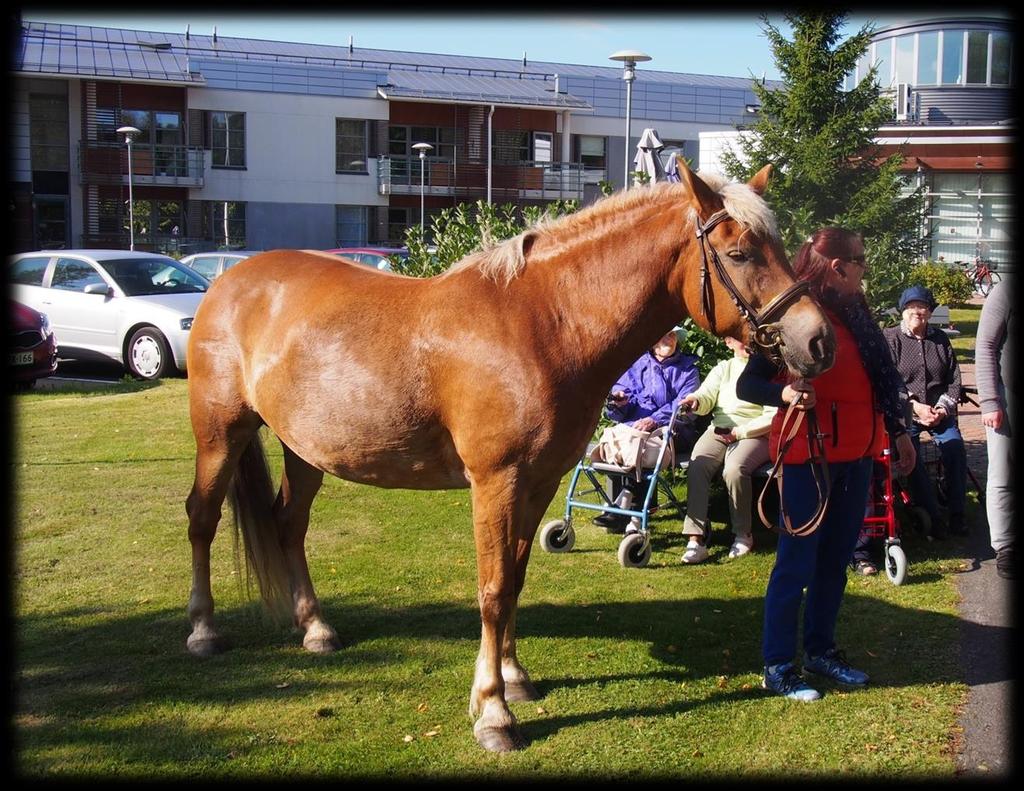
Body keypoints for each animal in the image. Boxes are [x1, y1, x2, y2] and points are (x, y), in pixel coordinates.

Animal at [188, 163, 835, 750]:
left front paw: (514, 678)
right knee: (203, 517)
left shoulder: (539, 481)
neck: (543, 322)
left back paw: (316, 629)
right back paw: (203, 632)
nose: (818, 341)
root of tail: (229, 280)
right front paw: (494, 713)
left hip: (306, 450)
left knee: (289, 525)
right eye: (742, 253)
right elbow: (494, 588)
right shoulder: (495, 481)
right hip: (220, 433)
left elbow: (518, 577)